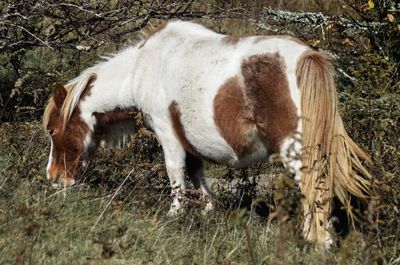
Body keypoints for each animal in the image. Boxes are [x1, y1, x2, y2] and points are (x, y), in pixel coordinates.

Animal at [43, 20, 372, 248]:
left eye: (52, 130)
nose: (54, 178)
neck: (143, 66)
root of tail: (308, 57)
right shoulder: (188, 139)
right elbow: (197, 173)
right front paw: (208, 209)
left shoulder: (167, 132)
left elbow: (175, 173)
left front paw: (175, 214)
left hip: (296, 151)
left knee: (314, 188)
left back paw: (316, 241)